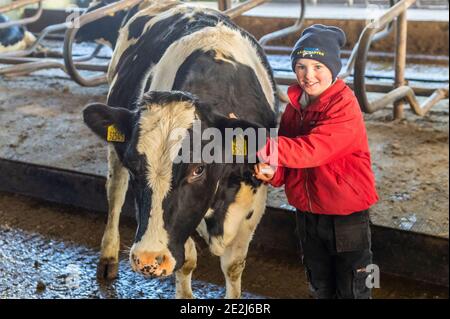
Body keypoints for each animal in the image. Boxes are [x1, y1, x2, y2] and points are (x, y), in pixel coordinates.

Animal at [81, 0, 278, 300]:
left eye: (198, 169)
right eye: (135, 166)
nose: (147, 259)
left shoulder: (253, 199)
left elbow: (233, 266)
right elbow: (187, 260)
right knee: (114, 194)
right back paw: (108, 257)